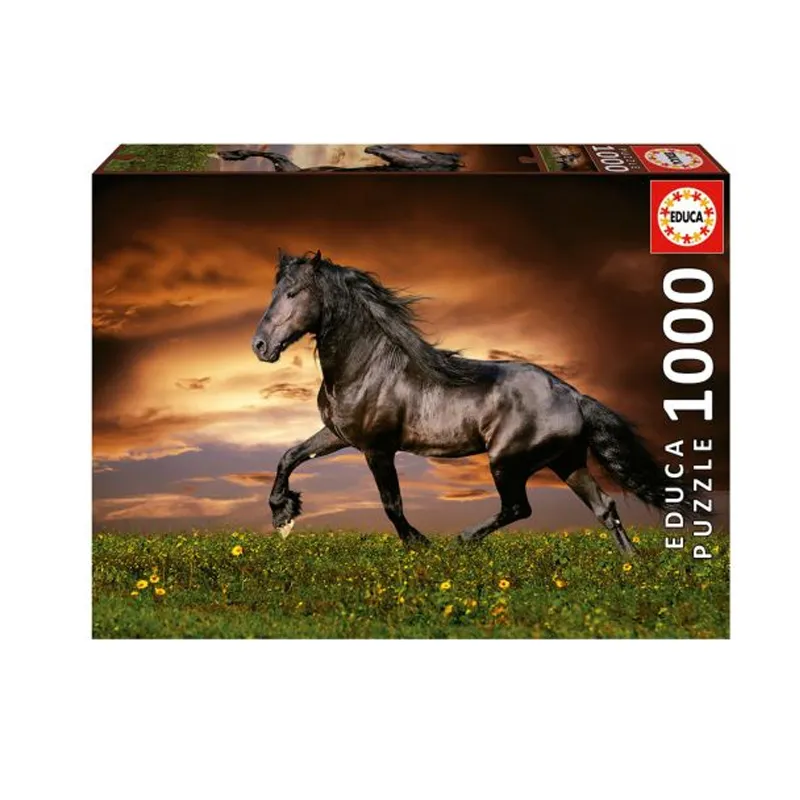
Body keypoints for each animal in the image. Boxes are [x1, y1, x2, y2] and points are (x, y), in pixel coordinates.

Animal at [252, 250, 676, 552]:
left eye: (292, 293)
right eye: (274, 292)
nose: (260, 346)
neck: (368, 368)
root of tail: (573, 396)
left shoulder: (377, 448)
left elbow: (392, 504)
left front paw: (419, 544)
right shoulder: (338, 435)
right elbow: (289, 456)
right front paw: (283, 514)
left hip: (507, 462)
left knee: (518, 508)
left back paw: (463, 539)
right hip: (565, 461)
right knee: (604, 508)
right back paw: (632, 567)